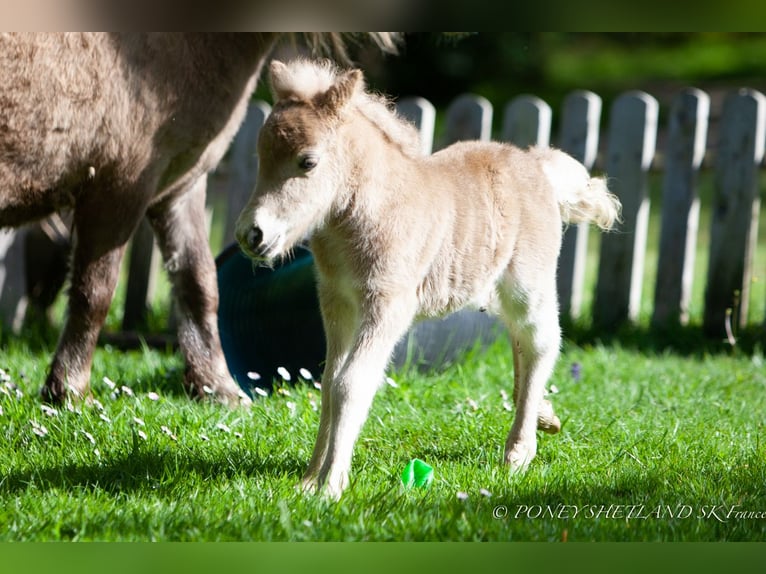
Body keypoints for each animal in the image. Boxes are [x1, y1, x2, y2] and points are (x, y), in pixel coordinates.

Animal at [237, 59, 620, 500]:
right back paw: (545, 417)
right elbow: (329, 383)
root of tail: (535, 162)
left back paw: (519, 452)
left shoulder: (387, 305)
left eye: (308, 162)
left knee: (541, 341)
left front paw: (331, 486)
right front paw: (307, 480)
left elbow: (351, 383)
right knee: (519, 340)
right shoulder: (336, 302)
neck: (371, 212)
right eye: (260, 156)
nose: (251, 235)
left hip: (527, 284)